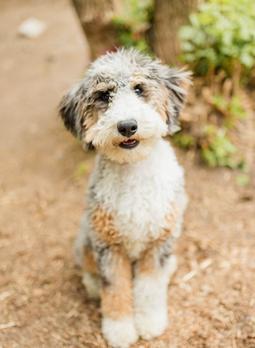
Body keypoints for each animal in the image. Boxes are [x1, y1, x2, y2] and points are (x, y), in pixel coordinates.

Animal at [59, 49, 189, 348]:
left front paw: (150, 322)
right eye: (104, 96)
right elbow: (115, 289)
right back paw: (93, 285)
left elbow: (150, 287)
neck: (133, 169)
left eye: (139, 89)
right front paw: (119, 330)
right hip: (86, 238)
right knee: (88, 267)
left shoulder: (158, 241)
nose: (128, 126)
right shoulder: (109, 246)